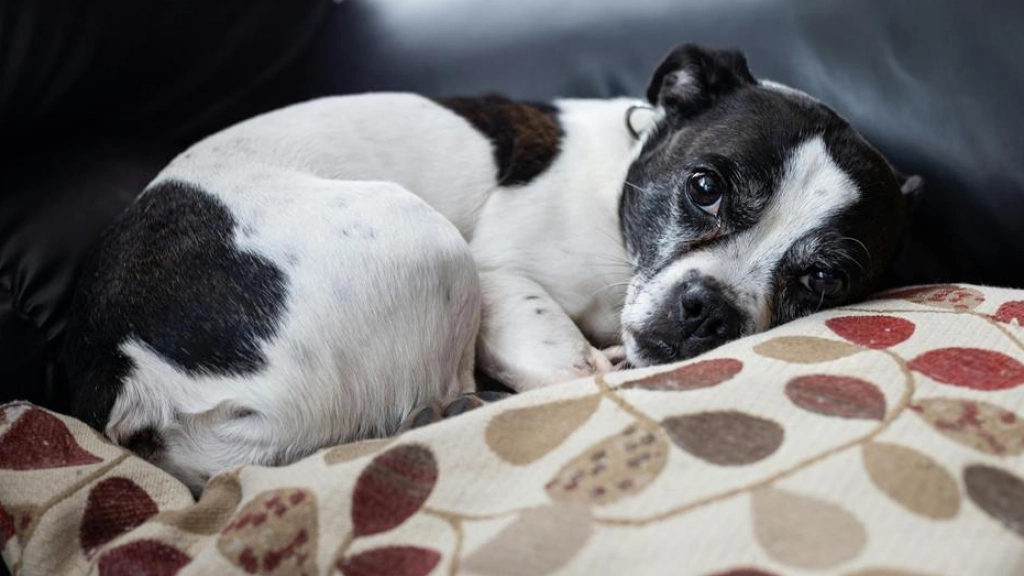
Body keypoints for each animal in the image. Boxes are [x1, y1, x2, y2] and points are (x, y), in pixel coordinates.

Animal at [59, 43, 917, 487]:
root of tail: (136, 371)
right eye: (704, 187)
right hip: (426, 238)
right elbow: (561, 358)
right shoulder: (499, 272)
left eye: (821, 280)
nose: (707, 310)